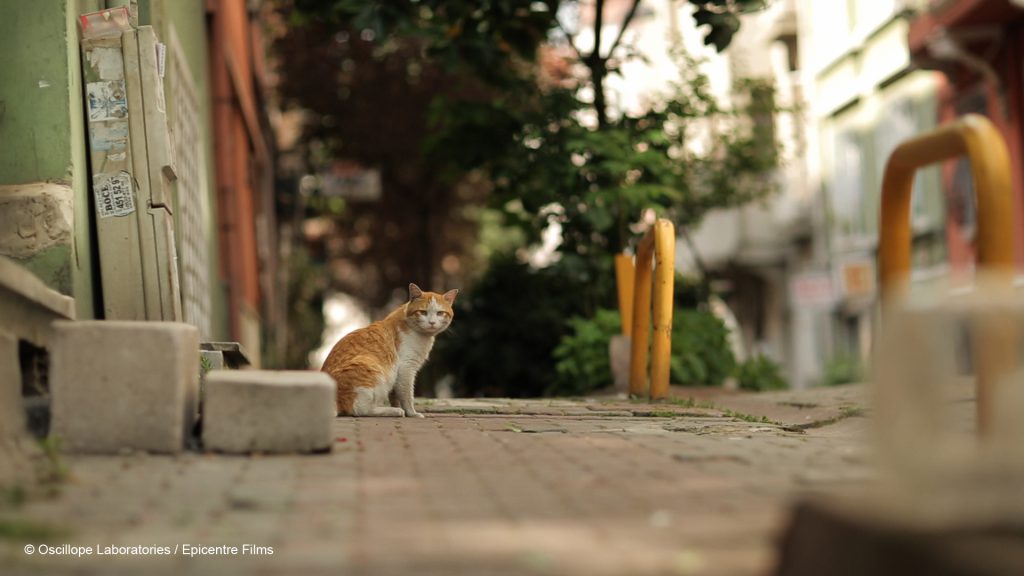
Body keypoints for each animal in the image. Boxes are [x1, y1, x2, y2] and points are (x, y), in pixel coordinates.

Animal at [321, 284, 458, 414]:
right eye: (423, 312)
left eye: (440, 313)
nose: (432, 322)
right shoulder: (406, 368)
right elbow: (407, 396)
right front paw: (411, 413)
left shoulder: (398, 375)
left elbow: (395, 396)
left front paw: (400, 408)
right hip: (371, 370)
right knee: (359, 409)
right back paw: (393, 411)